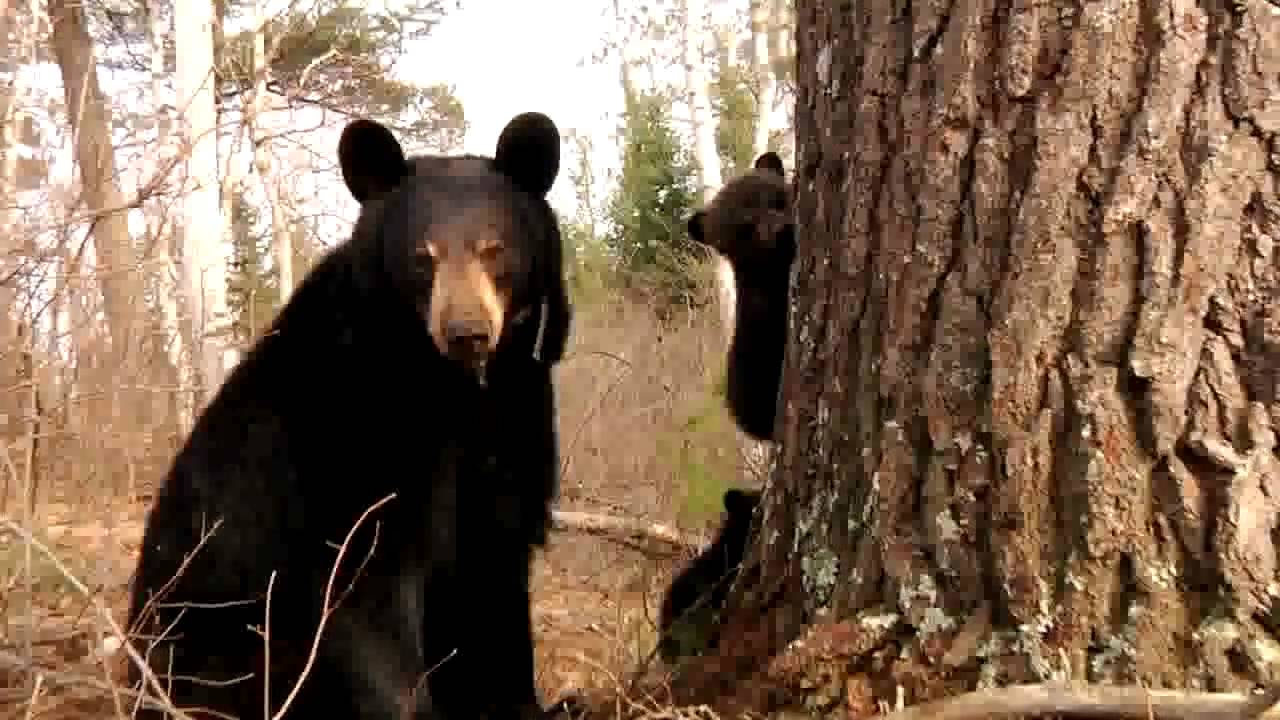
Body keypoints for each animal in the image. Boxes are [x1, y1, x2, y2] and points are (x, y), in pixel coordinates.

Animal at [125, 111, 574, 720]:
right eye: (422, 257)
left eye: (494, 249)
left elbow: (497, 568)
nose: (467, 334)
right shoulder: (348, 427)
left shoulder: (516, 414)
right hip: (215, 632)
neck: (454, 390)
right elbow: (363, 586)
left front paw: (528, 703)